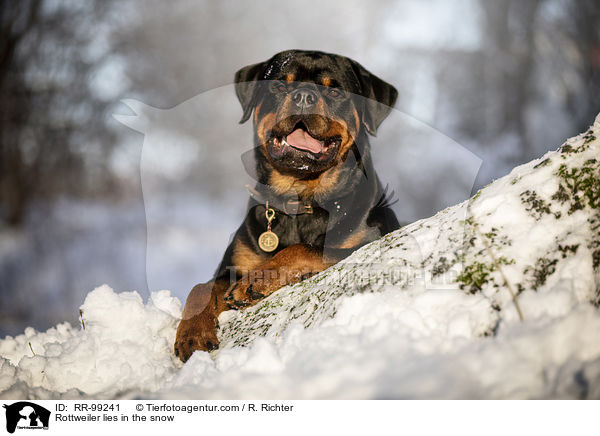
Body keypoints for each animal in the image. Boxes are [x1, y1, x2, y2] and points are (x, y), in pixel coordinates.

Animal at [173, 51, 398, 362]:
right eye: (280, 86)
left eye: (334, 91)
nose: (303, 96)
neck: (299, 196)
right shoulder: (235, 260)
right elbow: (201, 286)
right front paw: (193, 332)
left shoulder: (365, 244)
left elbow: (302, 248)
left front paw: (255, 281)